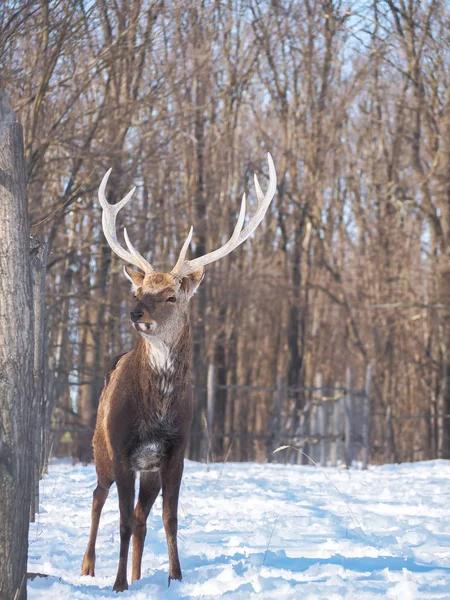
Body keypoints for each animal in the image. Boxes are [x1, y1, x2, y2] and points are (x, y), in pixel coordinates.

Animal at [81, 154, 278, 592]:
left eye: (171, 296)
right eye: (139, 291)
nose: (135, 312)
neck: (157, 410)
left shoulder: (176, 451)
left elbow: (168, 519)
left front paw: (175, 577)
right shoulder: (122, 448)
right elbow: (121, 520)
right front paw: (118, 585)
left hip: (149, 470)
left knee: (141, 517)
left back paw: (139, 574)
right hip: (100, 448)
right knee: (99, 497)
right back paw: (88, 568)